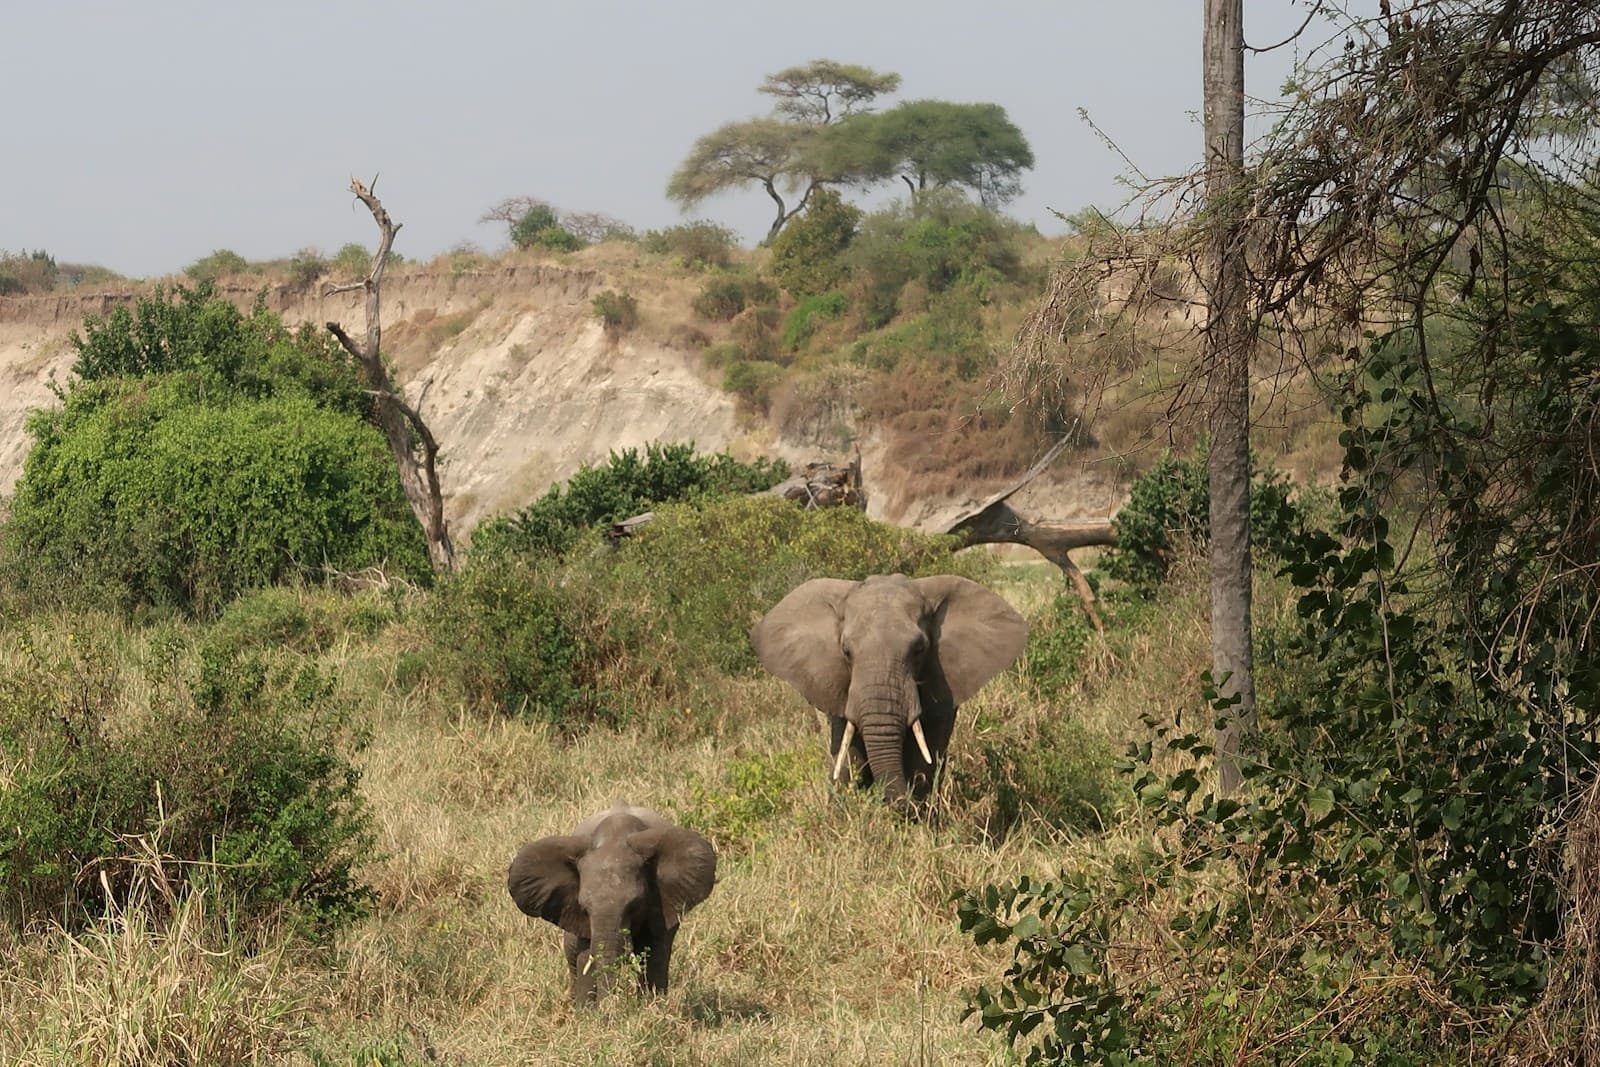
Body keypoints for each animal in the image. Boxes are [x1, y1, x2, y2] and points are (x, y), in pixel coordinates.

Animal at [507, 803, 717, 1003]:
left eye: (635, 904)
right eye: (584, 908)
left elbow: (655, 954)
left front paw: (652, 1005)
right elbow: (585, 957)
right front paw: (588, 1013)